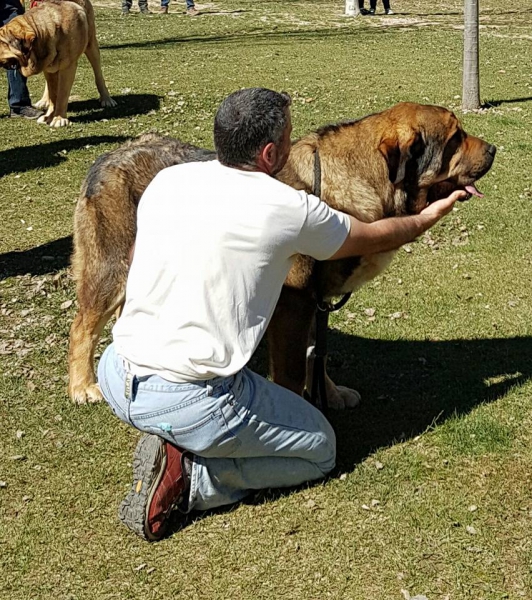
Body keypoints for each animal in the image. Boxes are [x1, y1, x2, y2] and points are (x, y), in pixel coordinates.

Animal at [68, 105, 496, 410]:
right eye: (456, 138)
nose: (493, 149)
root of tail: (113, 153)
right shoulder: (292, 303)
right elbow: (292, 369)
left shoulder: (315, 300)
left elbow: (316, 354)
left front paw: (329, 394)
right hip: (112, 271)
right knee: (82, 327)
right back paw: (82, 386)